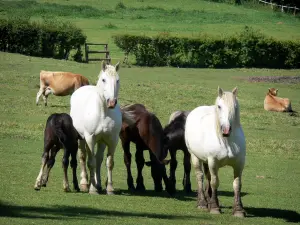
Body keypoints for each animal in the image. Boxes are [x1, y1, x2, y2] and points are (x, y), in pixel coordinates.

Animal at [70, 60, 134, 194]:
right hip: (82, 139)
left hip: (102, 141)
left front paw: (109, 188)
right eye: (104, 79)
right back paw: (85, 183)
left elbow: (109, 163)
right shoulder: (90, 139)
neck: (103, 112)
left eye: (117, 80)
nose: (112, 102)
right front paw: (92, 189)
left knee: (98, 159)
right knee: (83, 157)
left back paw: (98, 184)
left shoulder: (112, 140)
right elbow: (91, 163)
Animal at [185, 86, 246, 216]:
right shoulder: (213, 162)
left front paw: (239, 210)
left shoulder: (239, 164)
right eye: (219, 106)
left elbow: (237, 184)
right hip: (195, 157)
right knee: (200, 176)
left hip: (206, 161)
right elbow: (215, 182)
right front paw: (214, 208)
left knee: (207, 176)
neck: (227, 141)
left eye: (235, 106)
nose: (226, 130)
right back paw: (203, 203)